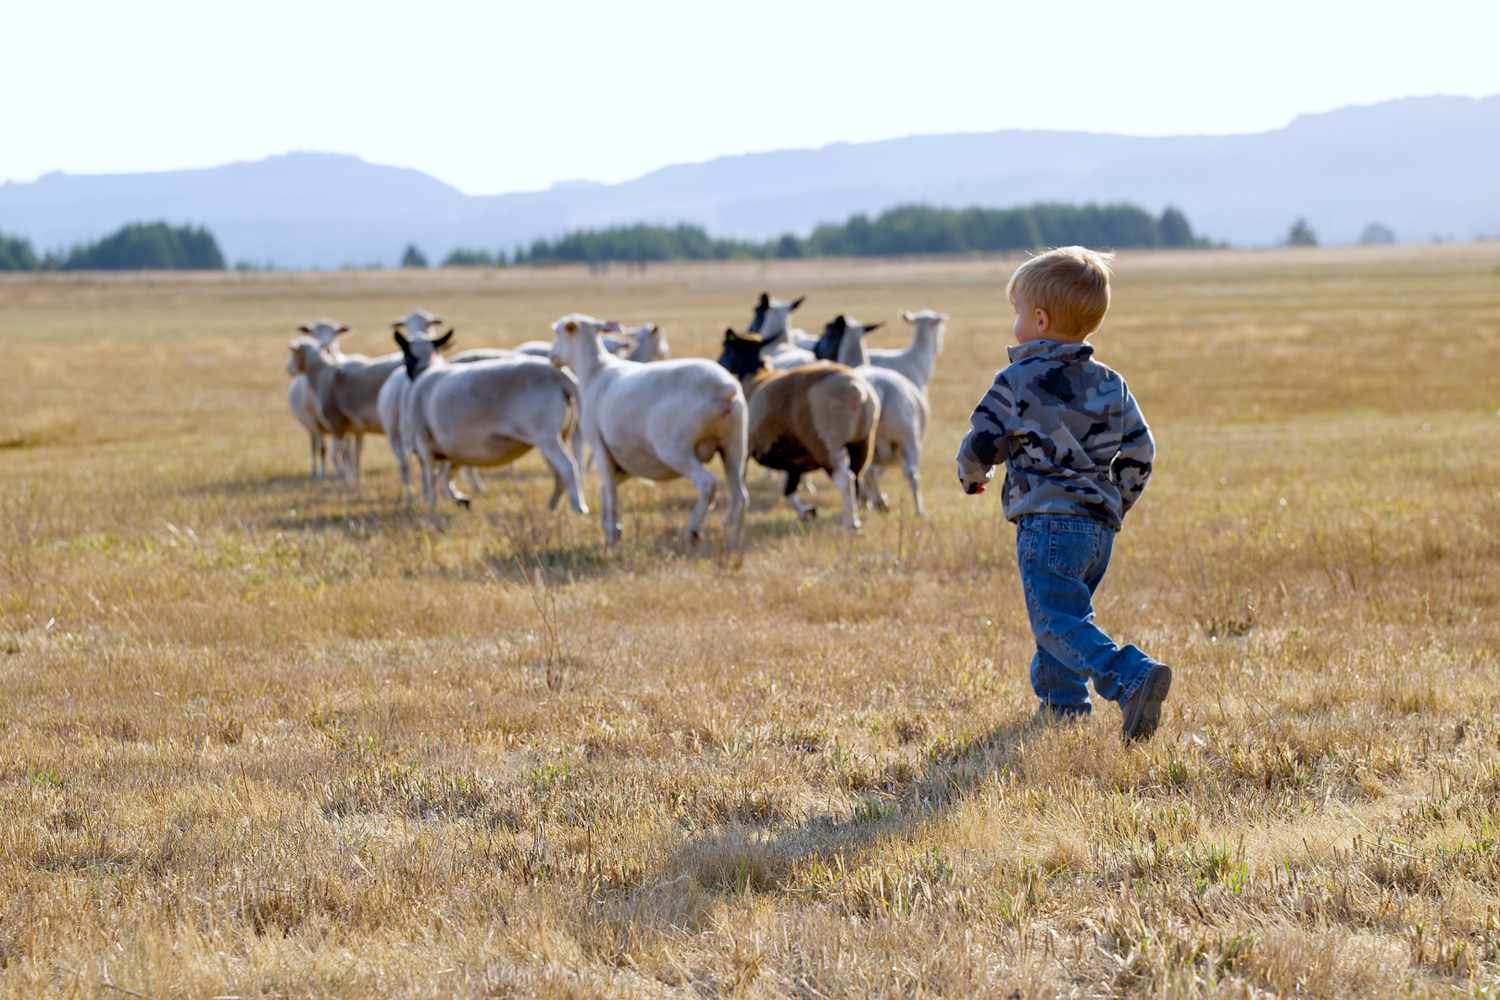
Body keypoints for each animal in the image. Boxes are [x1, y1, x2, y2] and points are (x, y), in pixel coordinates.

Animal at [399, 332, 585, 515]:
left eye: (406, 356)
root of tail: (560, 376)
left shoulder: (425, 443)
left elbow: (432, 481)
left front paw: (431, 510)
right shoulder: (455, 452)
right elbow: (445, 477)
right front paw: (461, 500)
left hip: (547, 437)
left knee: (568, 466)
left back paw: (578, 508)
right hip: (560, 435)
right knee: (559, 473)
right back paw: (552, 507)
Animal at [549, 313, 747, 548]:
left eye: (559, 332)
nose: (552, 357)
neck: (595, 371)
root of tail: (724, 388)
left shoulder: (600, 447)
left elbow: (610, 493)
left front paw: (611, 536)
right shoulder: (623, 460)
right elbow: (606, 490)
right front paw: (614, 530)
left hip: (674, 448)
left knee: (708, 484)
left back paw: (693, 531)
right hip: (734, 444)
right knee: (740, 494)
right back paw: (733, 536)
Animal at [714, 329, 876, 530]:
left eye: (727, 347)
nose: (719, 363)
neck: (755, 378)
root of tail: (857, 390)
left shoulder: (744, 450)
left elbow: (737, 486)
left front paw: (728, 519)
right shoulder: (795, 459)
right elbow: (788, 490)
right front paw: (807, 512)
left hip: (825, 444)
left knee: (845, 480)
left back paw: (850, 525)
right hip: (861, 444)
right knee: (856, 477)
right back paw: (855, 517)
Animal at [810, 313, 924, 515]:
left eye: (829, 331)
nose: (815, 351)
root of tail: (879, 387)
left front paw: (867, 500)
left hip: (866, 439)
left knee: (867, 471)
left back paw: (877, 502)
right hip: (907, 436)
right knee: (911, 473)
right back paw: (918, 511)